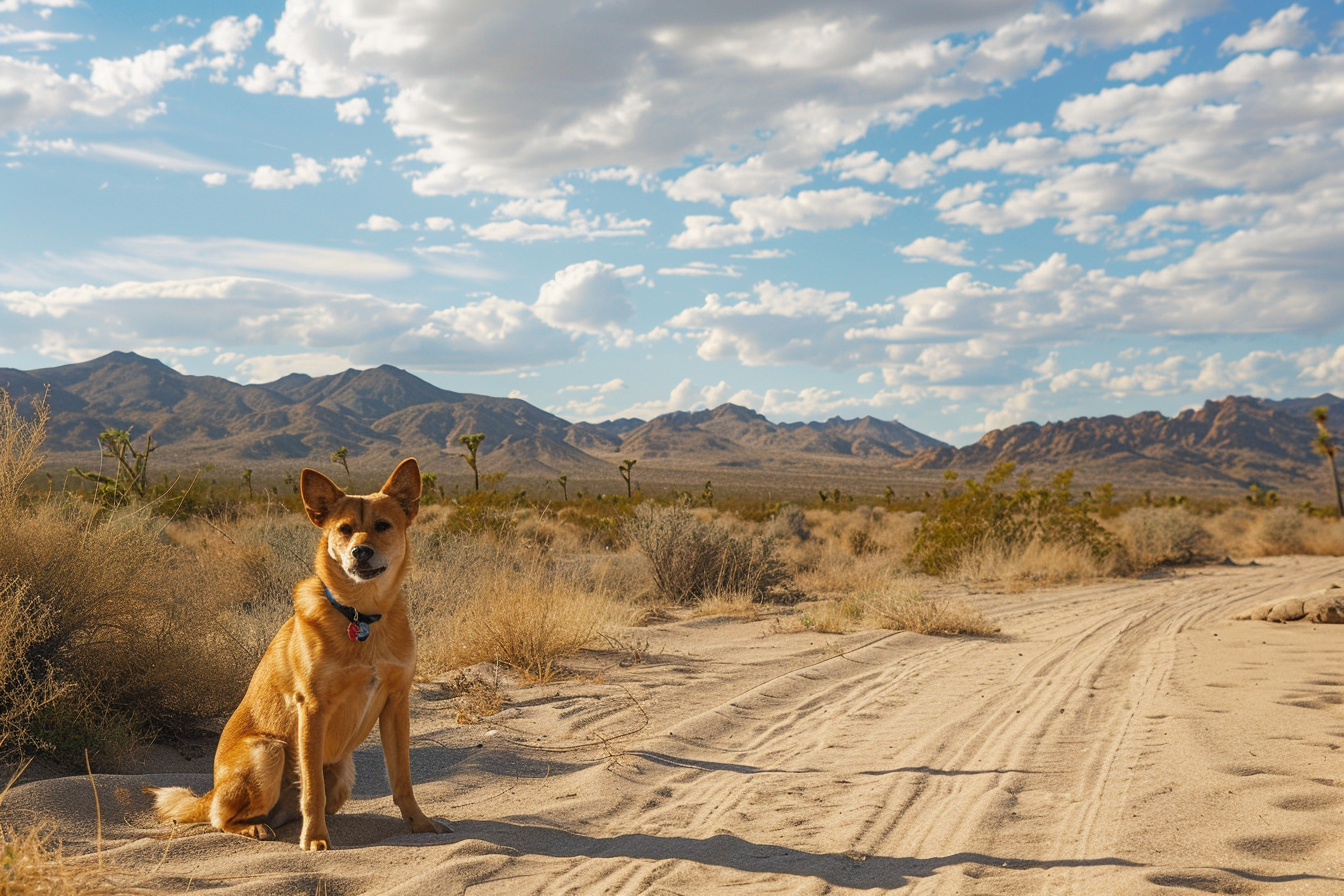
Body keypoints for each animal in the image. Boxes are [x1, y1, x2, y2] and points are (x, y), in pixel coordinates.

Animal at [146, 459, 443, 854]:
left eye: (383, 526)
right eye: (344, 529)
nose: (360, 552)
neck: (360, 615)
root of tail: (211, 790)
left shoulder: (396, 703)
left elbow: (403, 780)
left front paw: (420, 824)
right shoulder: (313, 708)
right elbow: (313, 790)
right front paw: (315, 838)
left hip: (342, 773)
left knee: (289, 809)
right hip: (268, 751)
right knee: (221, 817)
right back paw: (254, 828)